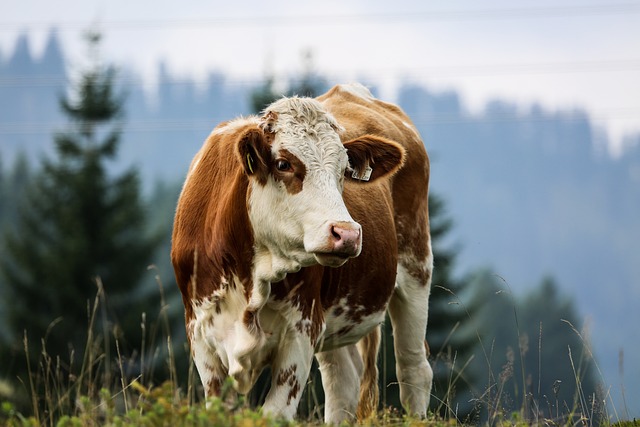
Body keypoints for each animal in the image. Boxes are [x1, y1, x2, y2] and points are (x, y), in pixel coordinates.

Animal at [170, 83, 432, 424]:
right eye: (284, 164)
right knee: (342, 381)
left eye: (344, 170)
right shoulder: (200, 332)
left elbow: (274, 414)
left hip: (416, 267)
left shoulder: (302, 329)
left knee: (413, 368)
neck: (251, 277)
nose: (347, 233)